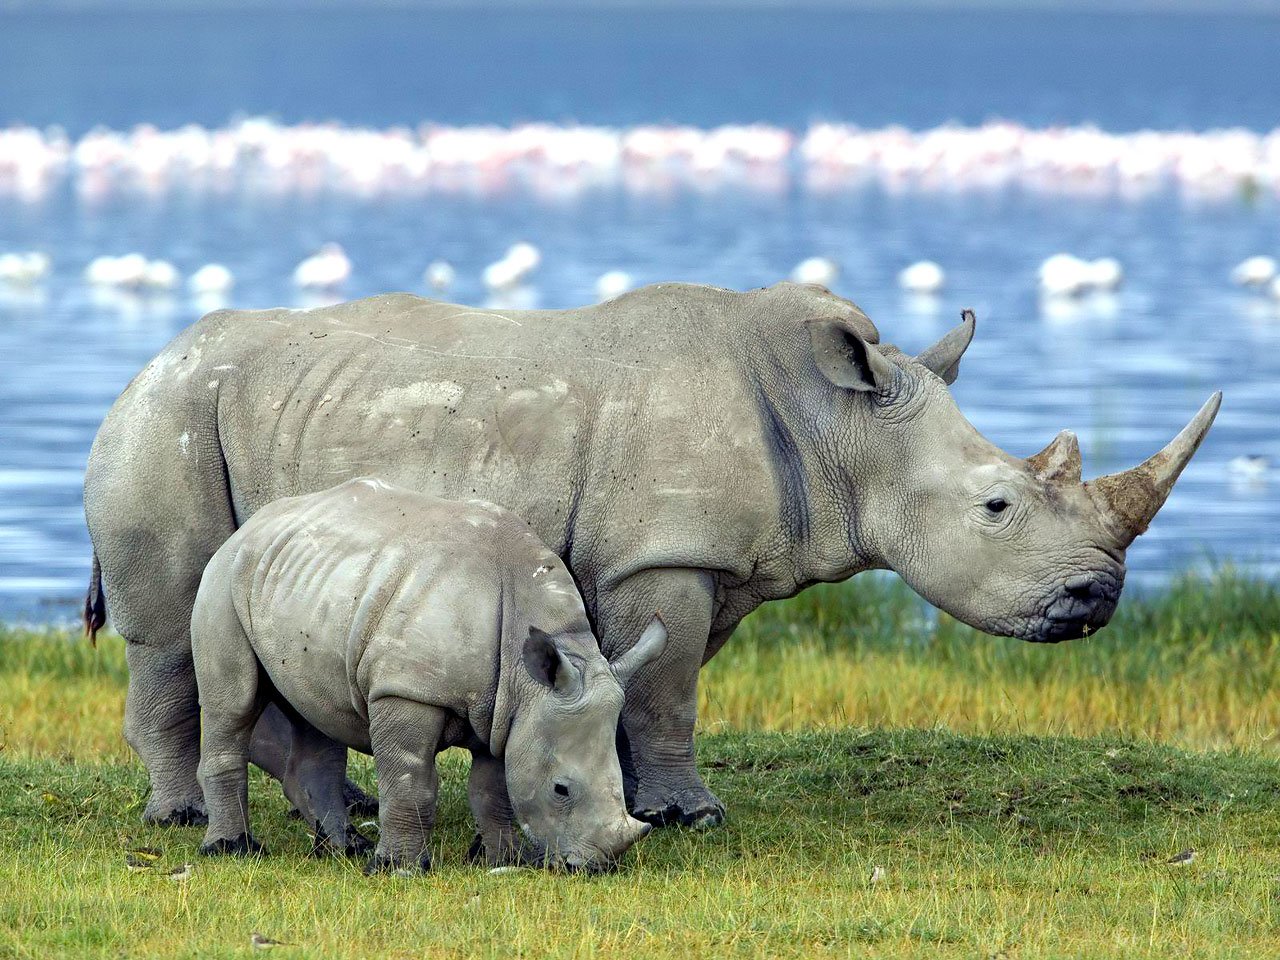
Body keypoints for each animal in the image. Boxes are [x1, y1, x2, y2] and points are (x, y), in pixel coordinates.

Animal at [83, 282, 1220, 830]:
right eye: (996, 506)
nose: (1096, 597)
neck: (838, 426)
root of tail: (146, 362)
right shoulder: (660, 556)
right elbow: (669, 691)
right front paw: (692, 817)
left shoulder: (692, 562)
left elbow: (646, 685)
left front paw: (626, 799)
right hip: (166, 424)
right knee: (172, 633)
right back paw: (184, 817)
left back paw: (347, 807)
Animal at [192, 477, 663, 873]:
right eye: (560, 789)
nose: (598, 867)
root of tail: (251, 526)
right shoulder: (407, 690)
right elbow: (411, 781)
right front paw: (398, 869)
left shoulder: (505, 710)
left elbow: (493, 789)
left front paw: (506, 860)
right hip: (222, 579)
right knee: (231, 706)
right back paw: (232, 850)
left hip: (302, 582)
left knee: (316, 713)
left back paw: (344, 849)